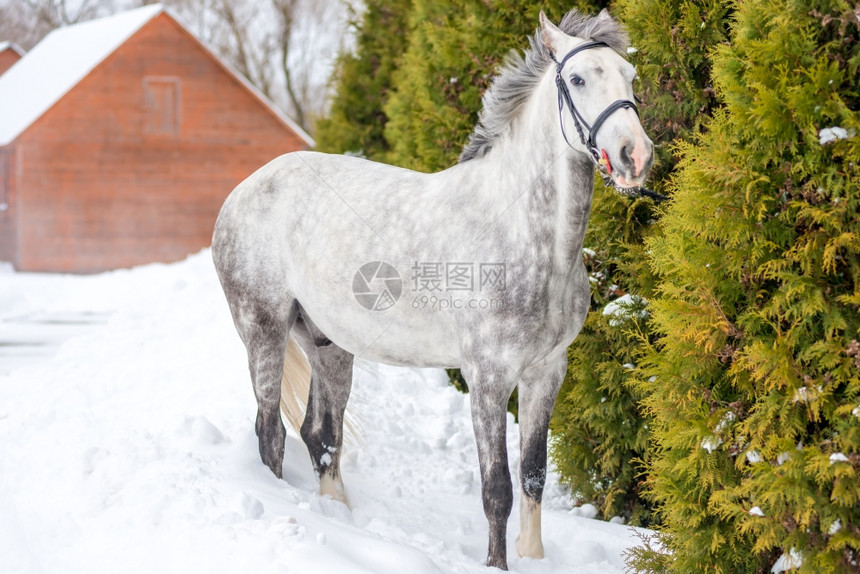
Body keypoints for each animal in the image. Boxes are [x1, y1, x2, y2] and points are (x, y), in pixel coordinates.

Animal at [213, 9, 652, 572]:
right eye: (576, 79)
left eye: (630, 76)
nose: (634, 155)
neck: (523, 234)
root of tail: (243, 190)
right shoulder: (488, 377)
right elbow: (497, 489)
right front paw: (497, 563)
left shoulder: (546, 372)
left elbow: (533, 475)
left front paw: (533, 557)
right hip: (263, 329)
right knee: (270, 433)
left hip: (328, 344)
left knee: (320, 435)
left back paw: (341, 517)